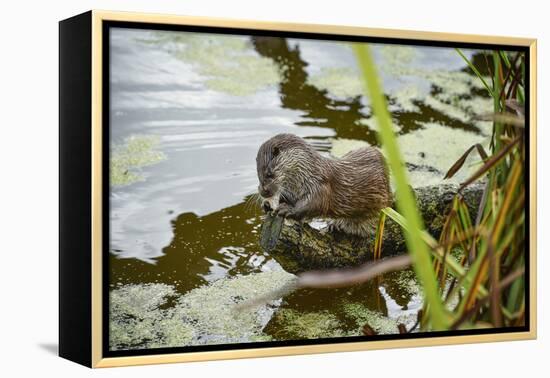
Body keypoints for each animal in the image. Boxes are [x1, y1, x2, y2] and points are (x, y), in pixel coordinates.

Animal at [256, 134, 394, 236]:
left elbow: (316, 204)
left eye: (269, 174)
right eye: (258, 173)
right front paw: (267, 205)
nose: (263, 192)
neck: (308, 171)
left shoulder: (319, 185)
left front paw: (287, 209)